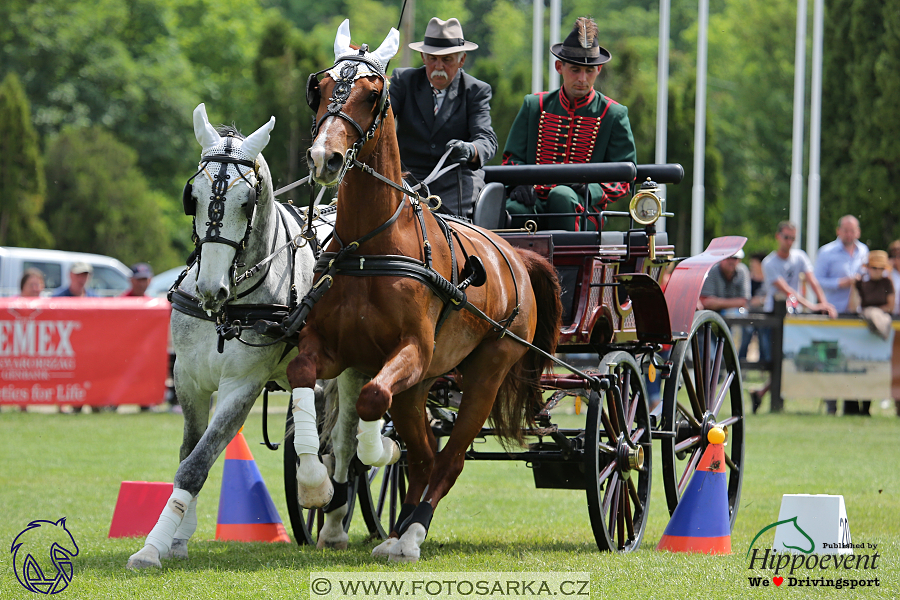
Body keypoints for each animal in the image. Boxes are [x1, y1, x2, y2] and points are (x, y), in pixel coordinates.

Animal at [286, 22, 564, 564]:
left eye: (373, 96)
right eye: (320, 88)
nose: (324, 158)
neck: (370, 246)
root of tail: (518, 254)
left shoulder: (410, 351)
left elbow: (372, 402)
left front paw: (376, 452)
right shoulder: (333, 349)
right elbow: (304, 379)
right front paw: (315, 485)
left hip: (486, 370)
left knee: (447, 458)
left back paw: (413, 532)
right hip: (422, 385)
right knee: (424, 455)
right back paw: (397, 531)